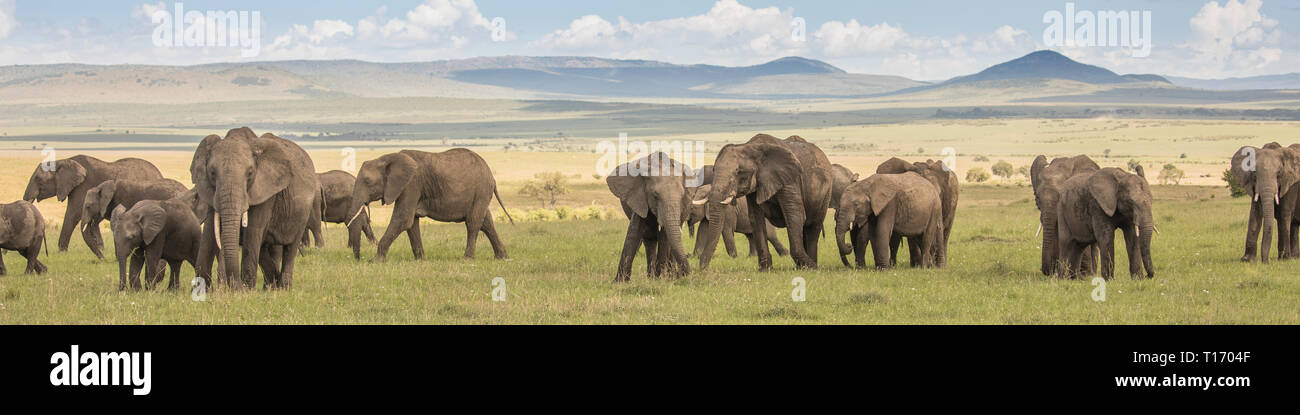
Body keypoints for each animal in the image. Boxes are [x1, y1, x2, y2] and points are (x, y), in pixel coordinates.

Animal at [22, 156, 163, 257]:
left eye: (38, 179)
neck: (62, 160)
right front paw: (101, 248)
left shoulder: (82, 187)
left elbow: (73, 214)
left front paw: (61, 252)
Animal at [191, 128, 321, 291]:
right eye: (212, 173)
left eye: (250, 173)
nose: (235, 287)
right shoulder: (209, 192)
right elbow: (209, 233)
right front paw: (203, 291)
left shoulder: (265, 192)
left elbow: (253, 232)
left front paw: (246, 292)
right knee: (263, 250)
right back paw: (271, 286)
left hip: (303, 212)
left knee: (290, 248)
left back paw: (283, 288)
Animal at [351, 148, 512, 262]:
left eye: (367, 181)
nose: (360, 259)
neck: (388, 157)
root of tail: (491, 176)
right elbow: (411, 223)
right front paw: (420, 261)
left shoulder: (412, 184)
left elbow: (403, 218)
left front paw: (375, 261)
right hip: (481, 194)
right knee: (486, 222)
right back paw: (502, 257)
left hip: (481, 190)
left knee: (473, 222)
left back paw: (467, 259)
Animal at [611, 152, 696, 283]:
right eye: (655, 196)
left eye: (682, 196)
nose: (683, 275)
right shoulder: (639, 198)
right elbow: (633, 232)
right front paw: (620, 282)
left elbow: (664, 237)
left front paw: (661, 279)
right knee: (649, 240)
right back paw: (652, 277)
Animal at [702, 133, 832, 270]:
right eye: (714, 170)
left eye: (738, 171)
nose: (703, 268)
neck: (751, 147)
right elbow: (755, 217)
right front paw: (765, 270)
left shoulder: (790, 179)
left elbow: (794, 214)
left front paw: (811, 267)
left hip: (826, 193)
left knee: (814, 226)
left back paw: (811, 266)